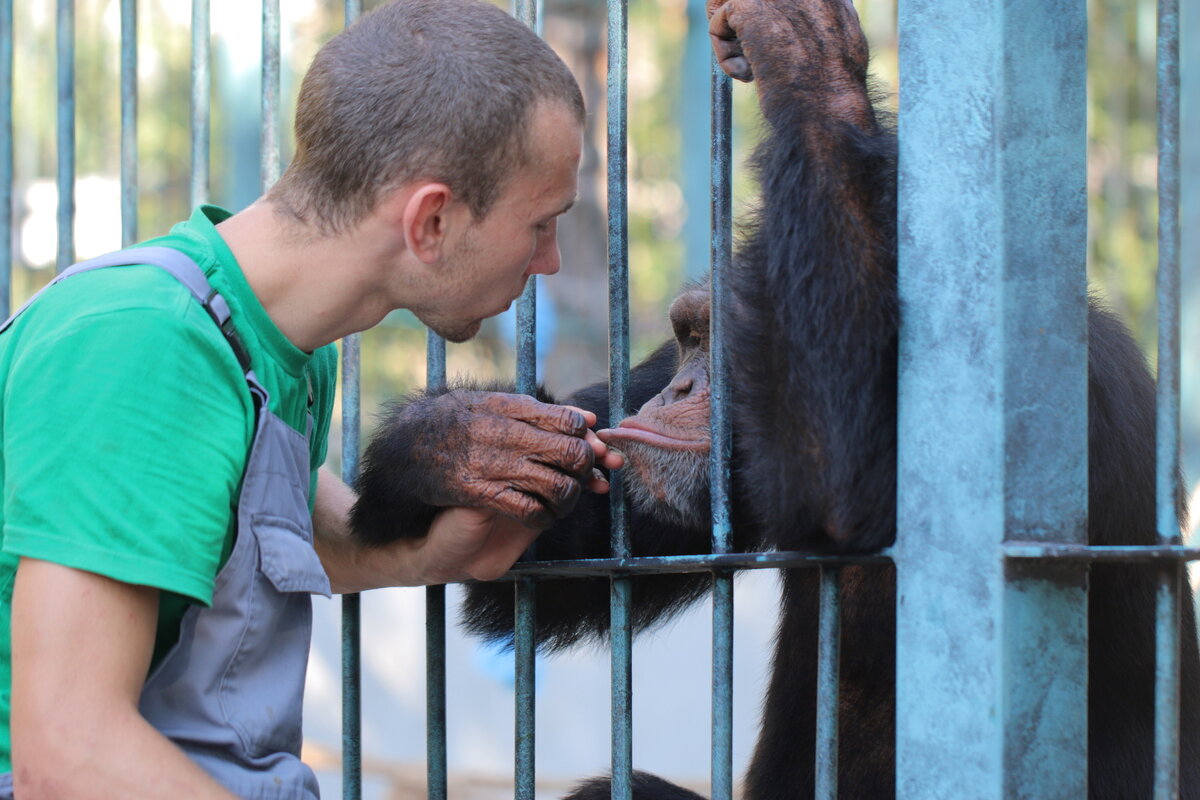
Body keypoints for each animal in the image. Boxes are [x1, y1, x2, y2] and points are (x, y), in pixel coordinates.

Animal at [350, 1, 1200, 796]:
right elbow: (565, 547)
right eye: (689, 337)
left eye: (723, 349)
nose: (681, 388)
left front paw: (805, 55)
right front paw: (460, 442)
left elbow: (845, 488)